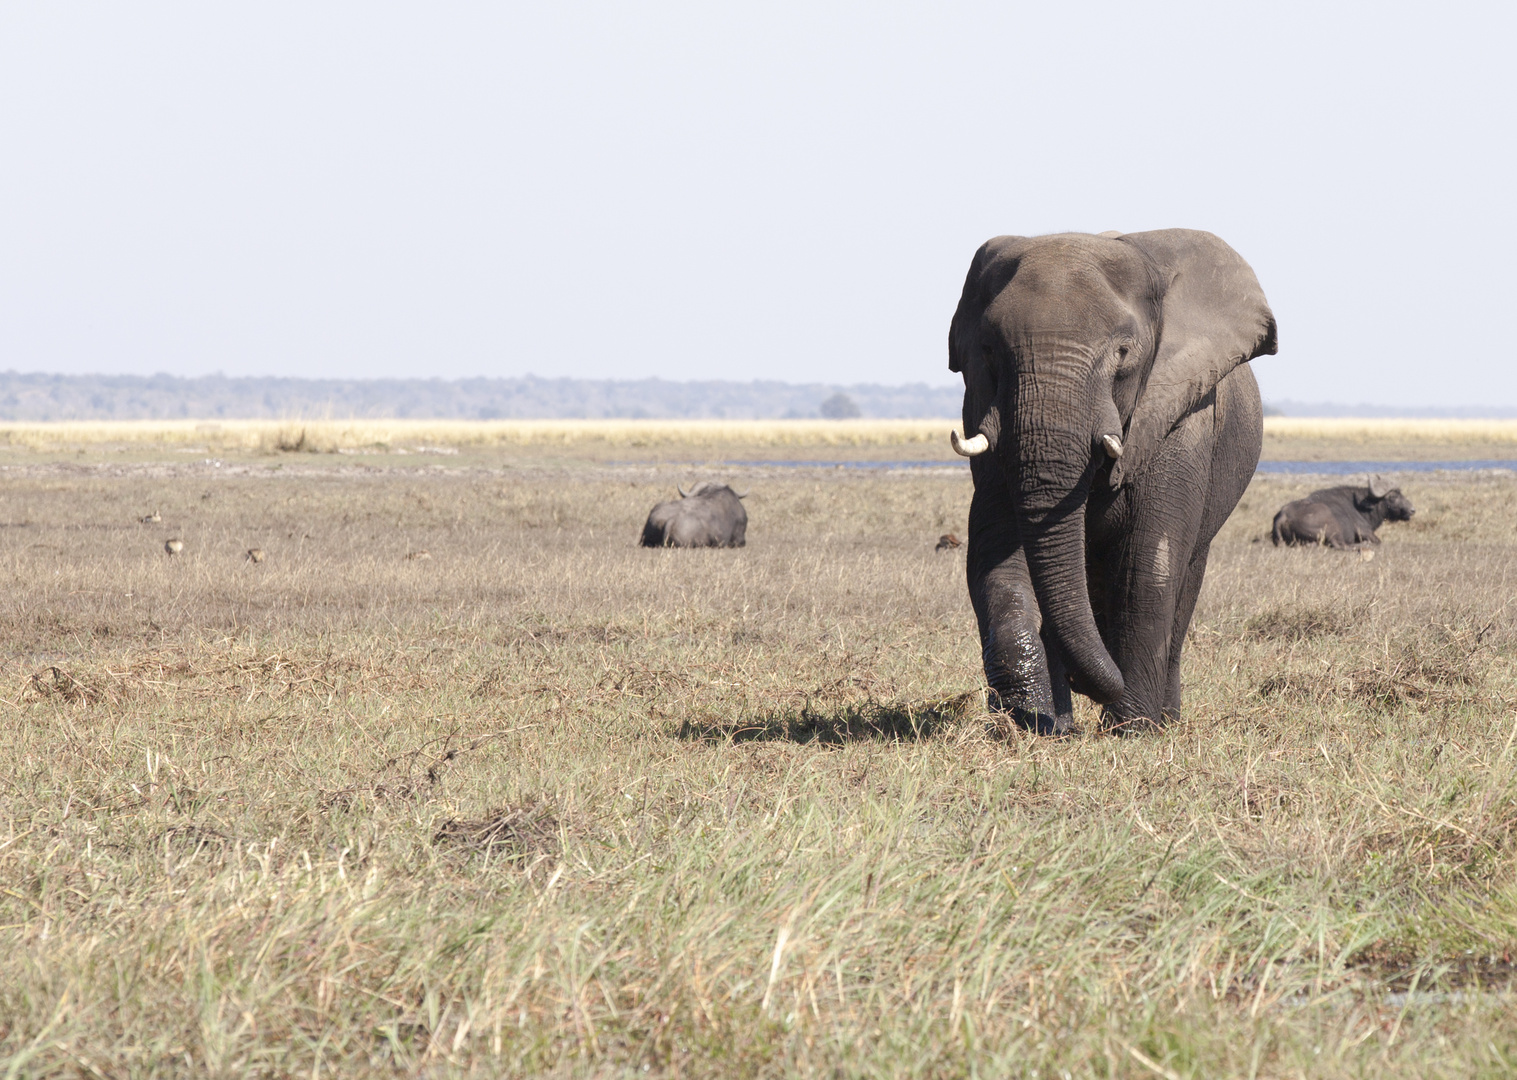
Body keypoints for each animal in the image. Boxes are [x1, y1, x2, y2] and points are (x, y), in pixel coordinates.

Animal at [952, 227, 1274, 734]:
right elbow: (996, 559)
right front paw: (1036, 725)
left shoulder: (1182, 418)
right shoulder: (983, 414)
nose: (1080, 681)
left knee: (1183, 580)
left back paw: (1164, 720)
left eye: (1123, 354)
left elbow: (1148, 564)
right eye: (988, 352)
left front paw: (1131, 731)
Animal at [1268, 476, 1407, 552]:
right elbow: (1379, 541)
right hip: (1332, 529)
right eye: (1393, 496)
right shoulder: (1365, 531)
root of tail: (1283, 515)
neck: (1360, 506)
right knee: (1339, 545)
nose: (1411, 510)